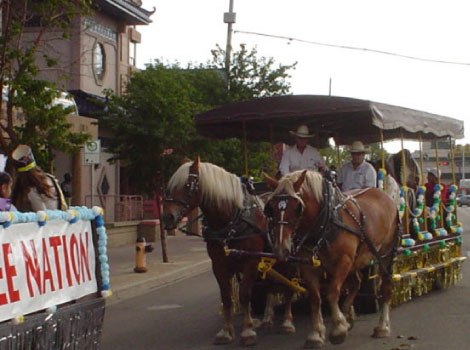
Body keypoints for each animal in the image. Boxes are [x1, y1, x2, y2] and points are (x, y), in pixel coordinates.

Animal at [163, 159, 292, 348]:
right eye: (169, 187)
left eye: (187, 185)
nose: (167, 218)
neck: (231, 220)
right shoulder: (218, 264)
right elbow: (226, 296)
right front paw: (226, 331)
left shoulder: (250, 261)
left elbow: (244, 294)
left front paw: (247, 331)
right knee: (270, 284)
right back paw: (267, 319)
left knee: (288, 283)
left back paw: (287, 323)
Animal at [262, 170, 398, 348]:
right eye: (270, 208)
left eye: (297, 207)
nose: (281, 249)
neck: (325, 222)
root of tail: (386, 196)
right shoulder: (308, 266)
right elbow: (315, 298)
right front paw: (316, 334)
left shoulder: (343, 260)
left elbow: (332, 292)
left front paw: (338, 329)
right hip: (356, 260)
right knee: (356, 282)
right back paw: (348, 317)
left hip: (385, 255)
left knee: (385, 287)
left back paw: (382, 327)